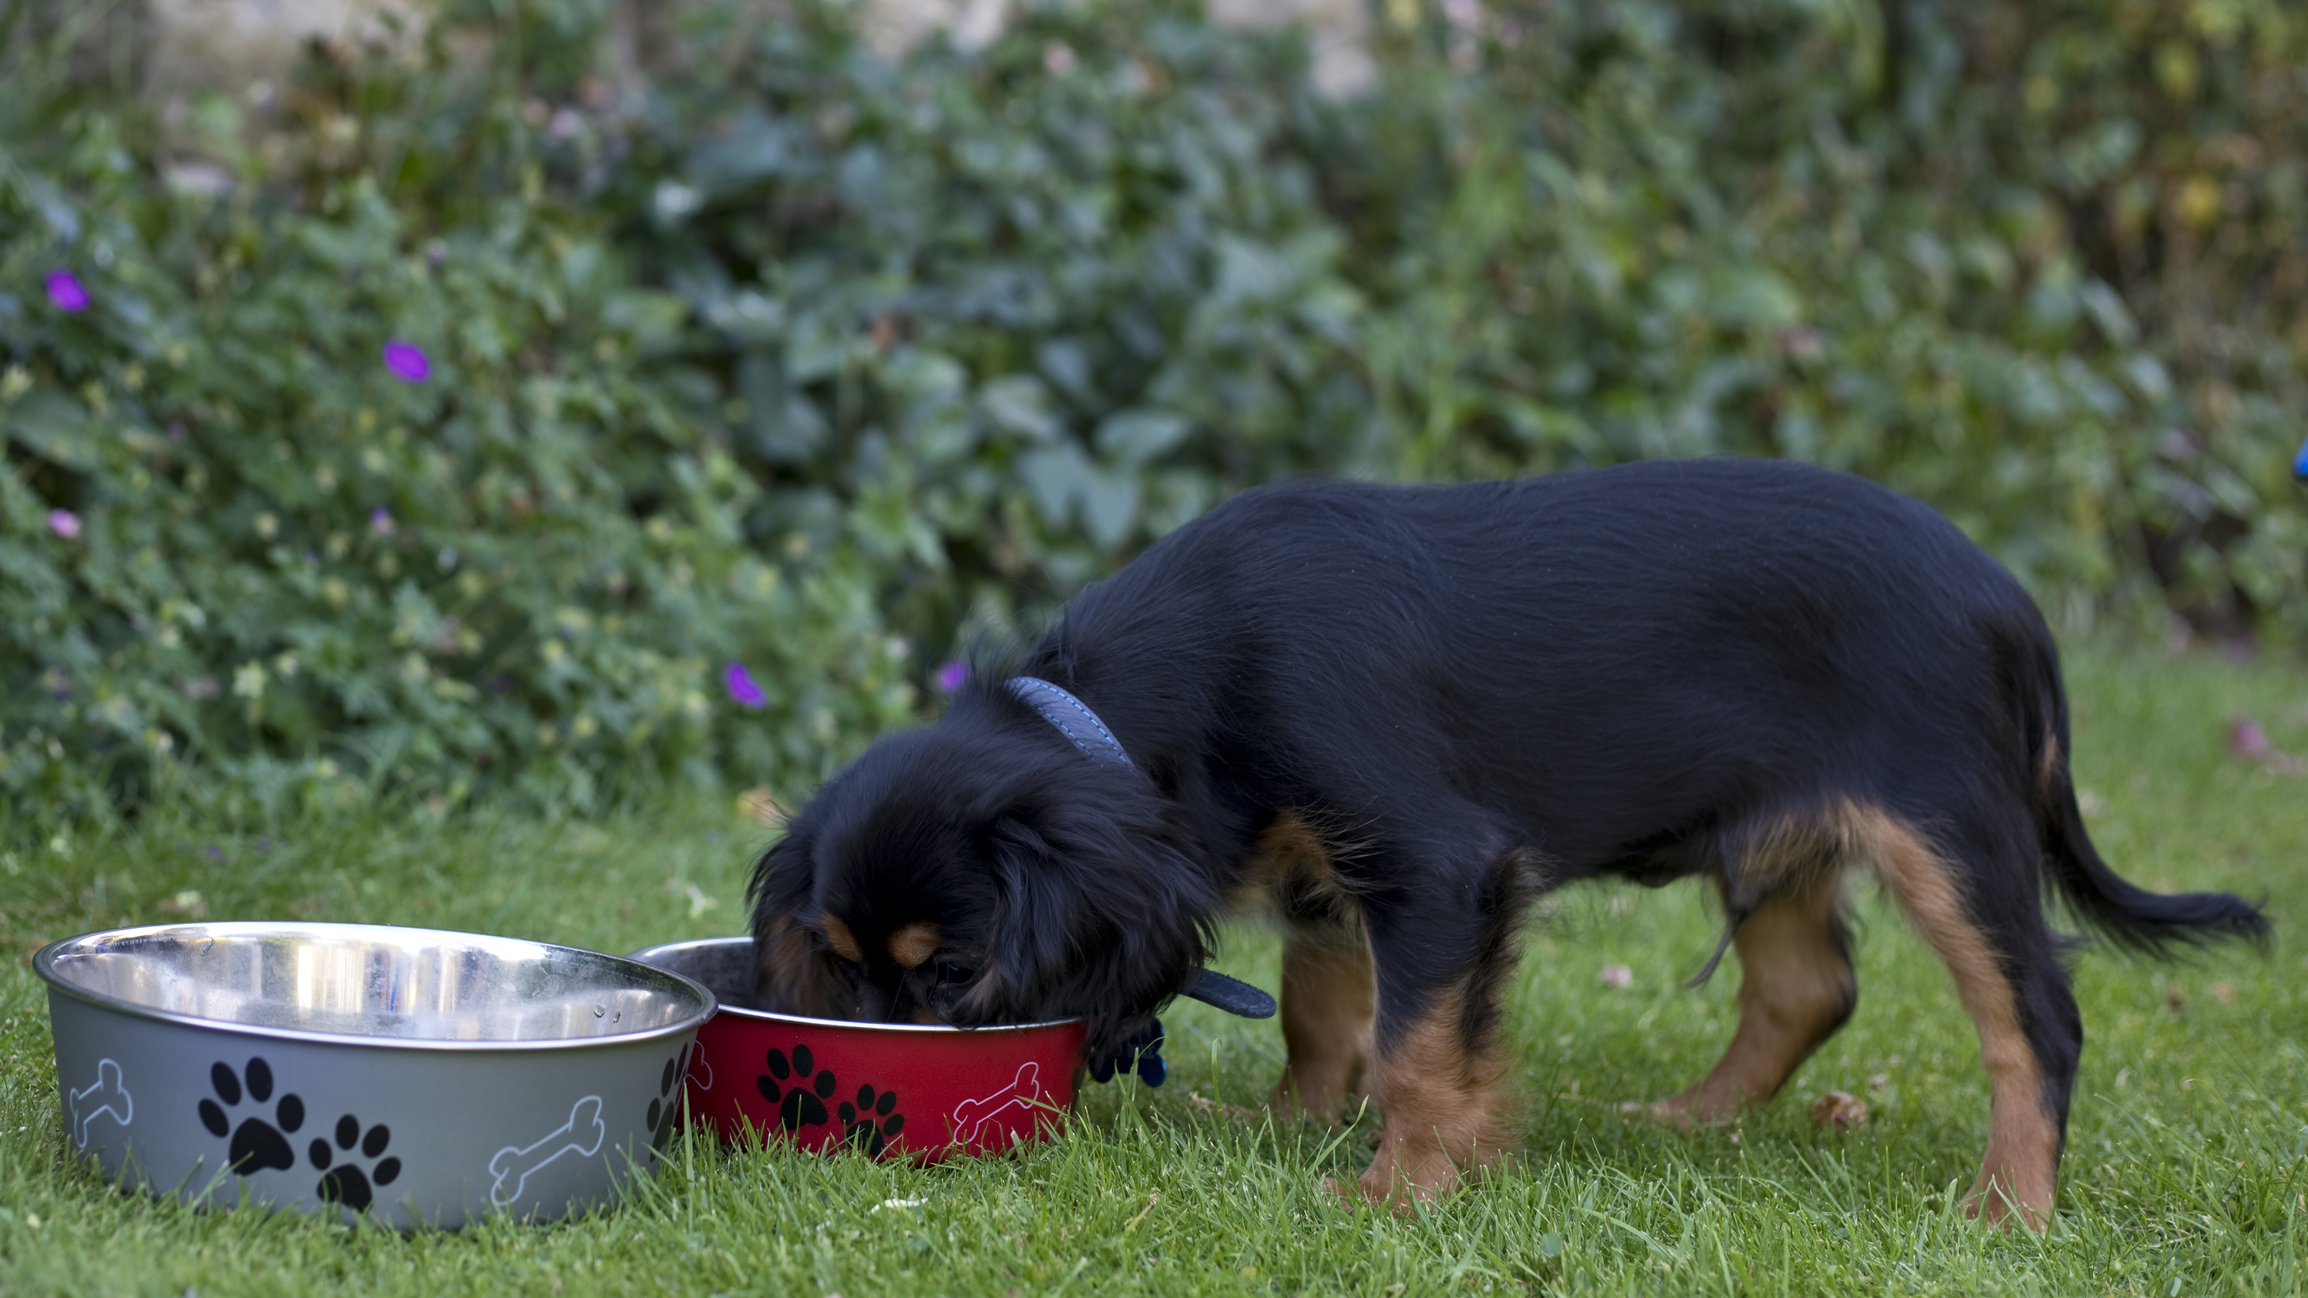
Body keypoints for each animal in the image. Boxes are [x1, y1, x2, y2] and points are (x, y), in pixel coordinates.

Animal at [747, 459, 2261, 1228]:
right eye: (838, 961)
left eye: (952, 978)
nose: (869, 1077)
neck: (1171, 682)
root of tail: (2014, 598)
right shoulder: (1331, 868)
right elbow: (1326, 1008)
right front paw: (1294, 1120)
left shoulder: (1434, 861)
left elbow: (1419, 1042)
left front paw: (1398, 1188)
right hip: (1777, 827)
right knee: (1806, 984)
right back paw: (1690, 1121)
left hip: (1943, 828)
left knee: (2033, 1015)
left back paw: (2010, 1207)